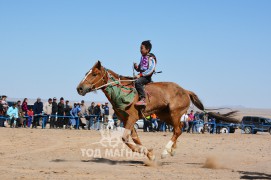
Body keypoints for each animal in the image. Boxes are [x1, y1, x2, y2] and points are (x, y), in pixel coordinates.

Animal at [77, 60, 240, 160]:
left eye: (94, 74)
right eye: (86, 72)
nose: (79, 88)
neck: (122, 91)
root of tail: (185, 91)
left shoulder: (131, 118)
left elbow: (125, 138)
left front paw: (148, 153)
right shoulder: (125, 119)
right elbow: (135, 138)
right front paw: (149, 154)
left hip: (174, 113)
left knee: (178, 130)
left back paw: (165, 152)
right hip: (165, 116)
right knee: (179, 129)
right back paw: (172, 150)